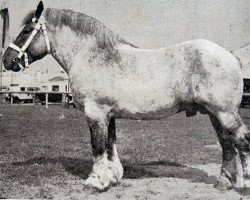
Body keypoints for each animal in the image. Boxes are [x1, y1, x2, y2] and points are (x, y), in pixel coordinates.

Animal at [2, 1, 250, 191]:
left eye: (26, 31)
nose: (7, 60)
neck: (92, 55)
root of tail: (230, 56)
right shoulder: (108, 114)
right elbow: (110, 144)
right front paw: (112, 177)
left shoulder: (96, 113)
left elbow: (98, 146)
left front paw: (95, 181)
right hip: (214, 114)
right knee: (227, 144)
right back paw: (223, 183)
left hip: (225, 113)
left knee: (242, 141)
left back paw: (243, 183)